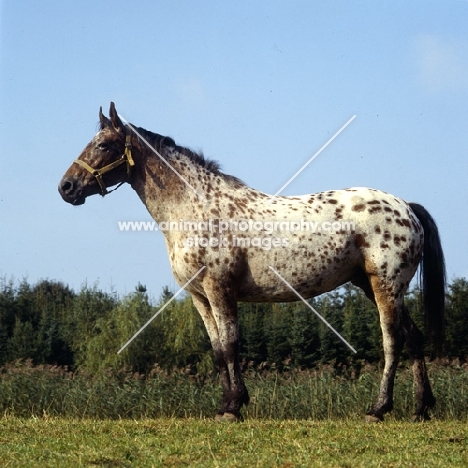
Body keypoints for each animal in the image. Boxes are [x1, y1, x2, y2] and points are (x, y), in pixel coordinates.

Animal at [59, 103, 446, 424]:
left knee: (392, 341)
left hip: (385, 286)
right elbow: (218, 351)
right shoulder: (199, 297)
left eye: (104, 145)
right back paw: (421, 408)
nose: (66, 187)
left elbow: (231, 344)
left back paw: (378, 409)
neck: (195, 207)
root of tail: (407, 208)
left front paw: (234, 407)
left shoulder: (220, 290)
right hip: (374, 286)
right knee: (413, 338)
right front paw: (226, 404)